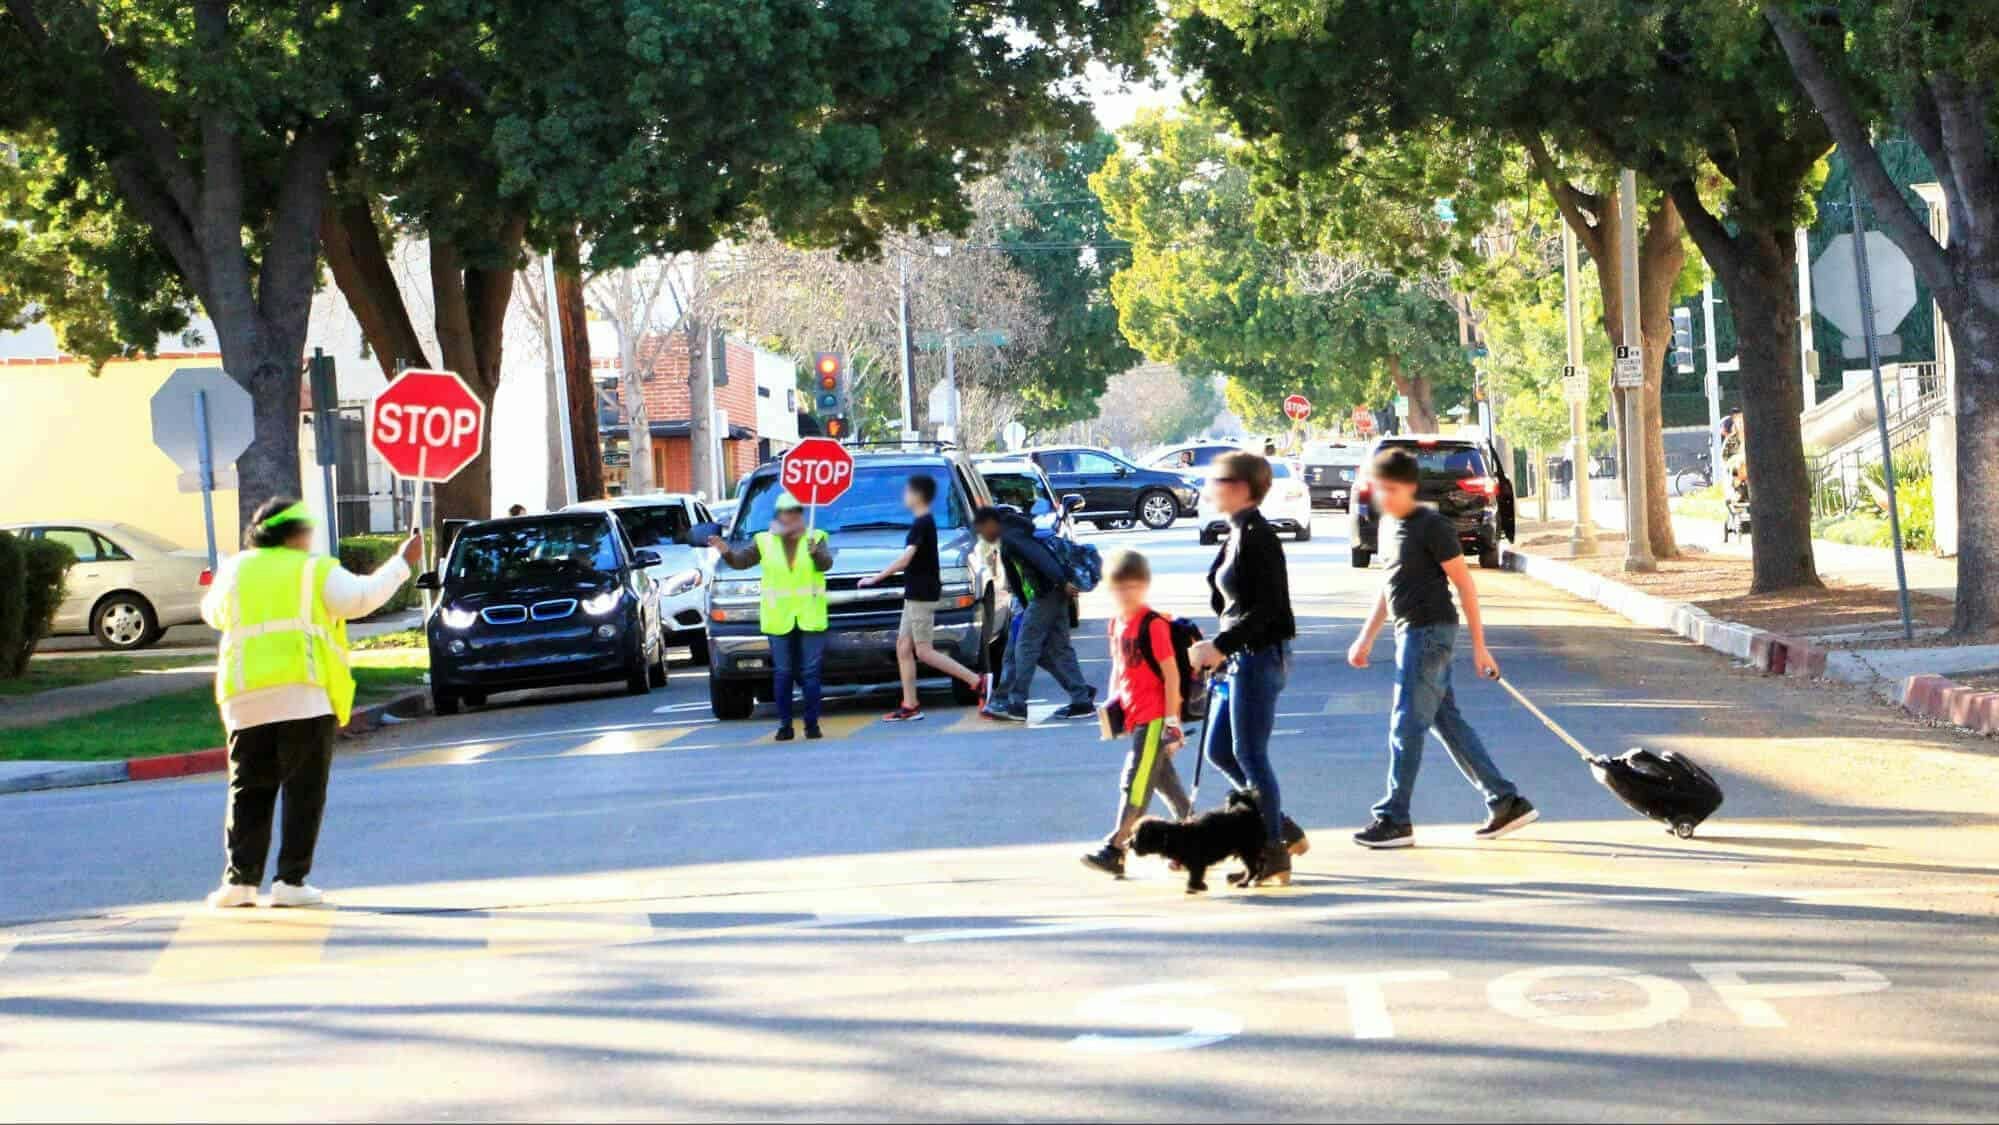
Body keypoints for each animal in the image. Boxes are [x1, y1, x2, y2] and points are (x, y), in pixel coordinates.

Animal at [1127, 791, 1263, 899]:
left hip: (1247, 850)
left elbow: (1194, 877)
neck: (1172, 836)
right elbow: (1195, 876)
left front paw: (1194, 887)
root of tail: (1251, 811)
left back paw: (1244, 882)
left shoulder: (1197, 863)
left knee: (1253, 868)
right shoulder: (1194, 864)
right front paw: (1200, 886)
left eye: (1137, 835)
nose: (1128, 843)